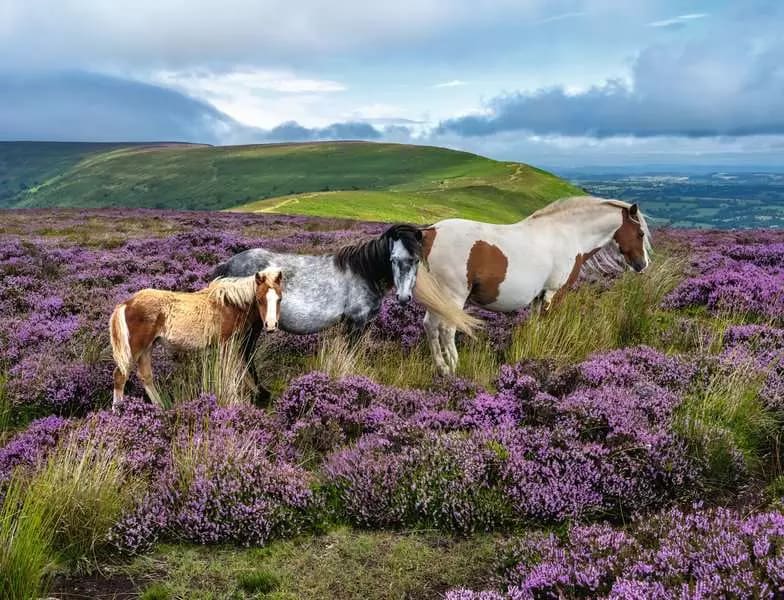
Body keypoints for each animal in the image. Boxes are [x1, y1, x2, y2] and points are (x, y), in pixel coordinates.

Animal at [109, 268, 284, 409]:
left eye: (279, 299)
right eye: (259, 299)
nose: (271, 325)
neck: (230, 304)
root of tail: (126, 303)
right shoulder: (226, 344)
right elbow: (229, 373)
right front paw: (234, 402)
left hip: (147, 347)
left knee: (145, 376)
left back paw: (160, 408)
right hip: (135, 348)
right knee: (120, 376)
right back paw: (118, 411)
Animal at [210, 223, 480, 385]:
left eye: (415, 259)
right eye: (392, 258)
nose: (403, 298)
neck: (364, 271)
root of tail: (228, 265)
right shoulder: (356, 322)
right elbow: (350, 354)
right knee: (244, 354)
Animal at [418, 196, 652, 375]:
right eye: (640, 233)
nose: (643, 265)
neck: (569, 234)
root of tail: (431, 232)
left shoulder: (540, 296)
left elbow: (536, 326)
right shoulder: (554, 293)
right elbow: (549, 324)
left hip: (438, 299)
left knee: (430, 326)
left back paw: (442, 369)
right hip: (453, 297)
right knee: (447, 329)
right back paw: (454, 368)